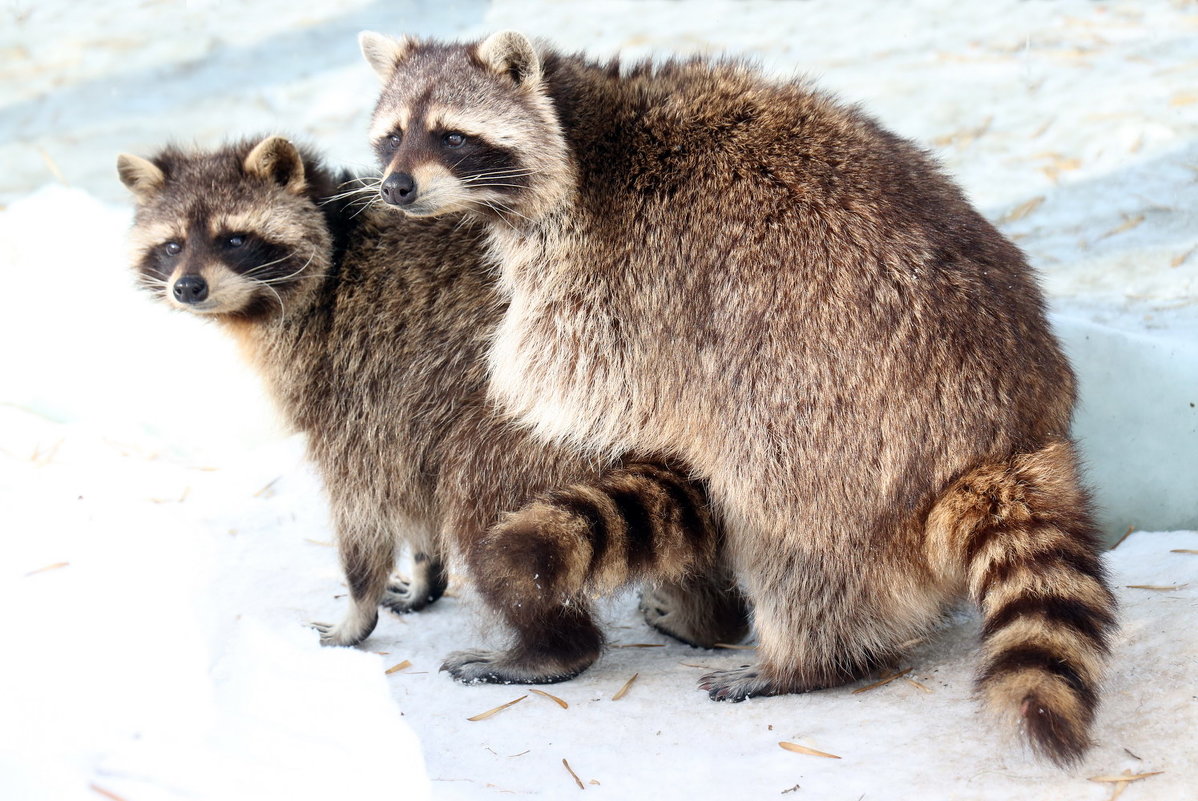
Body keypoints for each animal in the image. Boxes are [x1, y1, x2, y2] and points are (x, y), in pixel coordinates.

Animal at [114, 135, 747, 680]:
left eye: (233, 239)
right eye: (172, 245)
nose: (187, 287)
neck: (333, 251)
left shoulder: (351, 382)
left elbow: (365, 505)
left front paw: (357, 609)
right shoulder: (397, 397)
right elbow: (412, 489)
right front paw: (423, 573)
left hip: (538, 426)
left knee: (482, 499)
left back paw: (552, 648)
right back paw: (709, 617)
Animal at [359, 32, 1116, 761]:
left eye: (452, 136)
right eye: (392, 135)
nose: (396, 188)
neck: (582, 131)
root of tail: (1007, 427)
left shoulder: (618, 269)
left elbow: (583, 381)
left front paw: (525, 402)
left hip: (838, 411)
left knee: (791, 532)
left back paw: (805, 658)